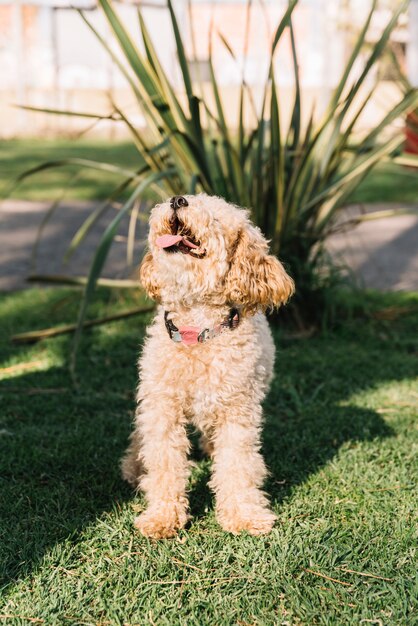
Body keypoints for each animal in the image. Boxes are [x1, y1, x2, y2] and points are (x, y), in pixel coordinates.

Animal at [122, 193, 296, 532]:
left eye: (217, 218)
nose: (177, 199)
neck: (196, 334)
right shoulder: (162, 407)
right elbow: (163, 461)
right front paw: (162, 517)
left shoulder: (237, 412)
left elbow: (238, 464)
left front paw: (244, 515)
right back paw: (134, 468)